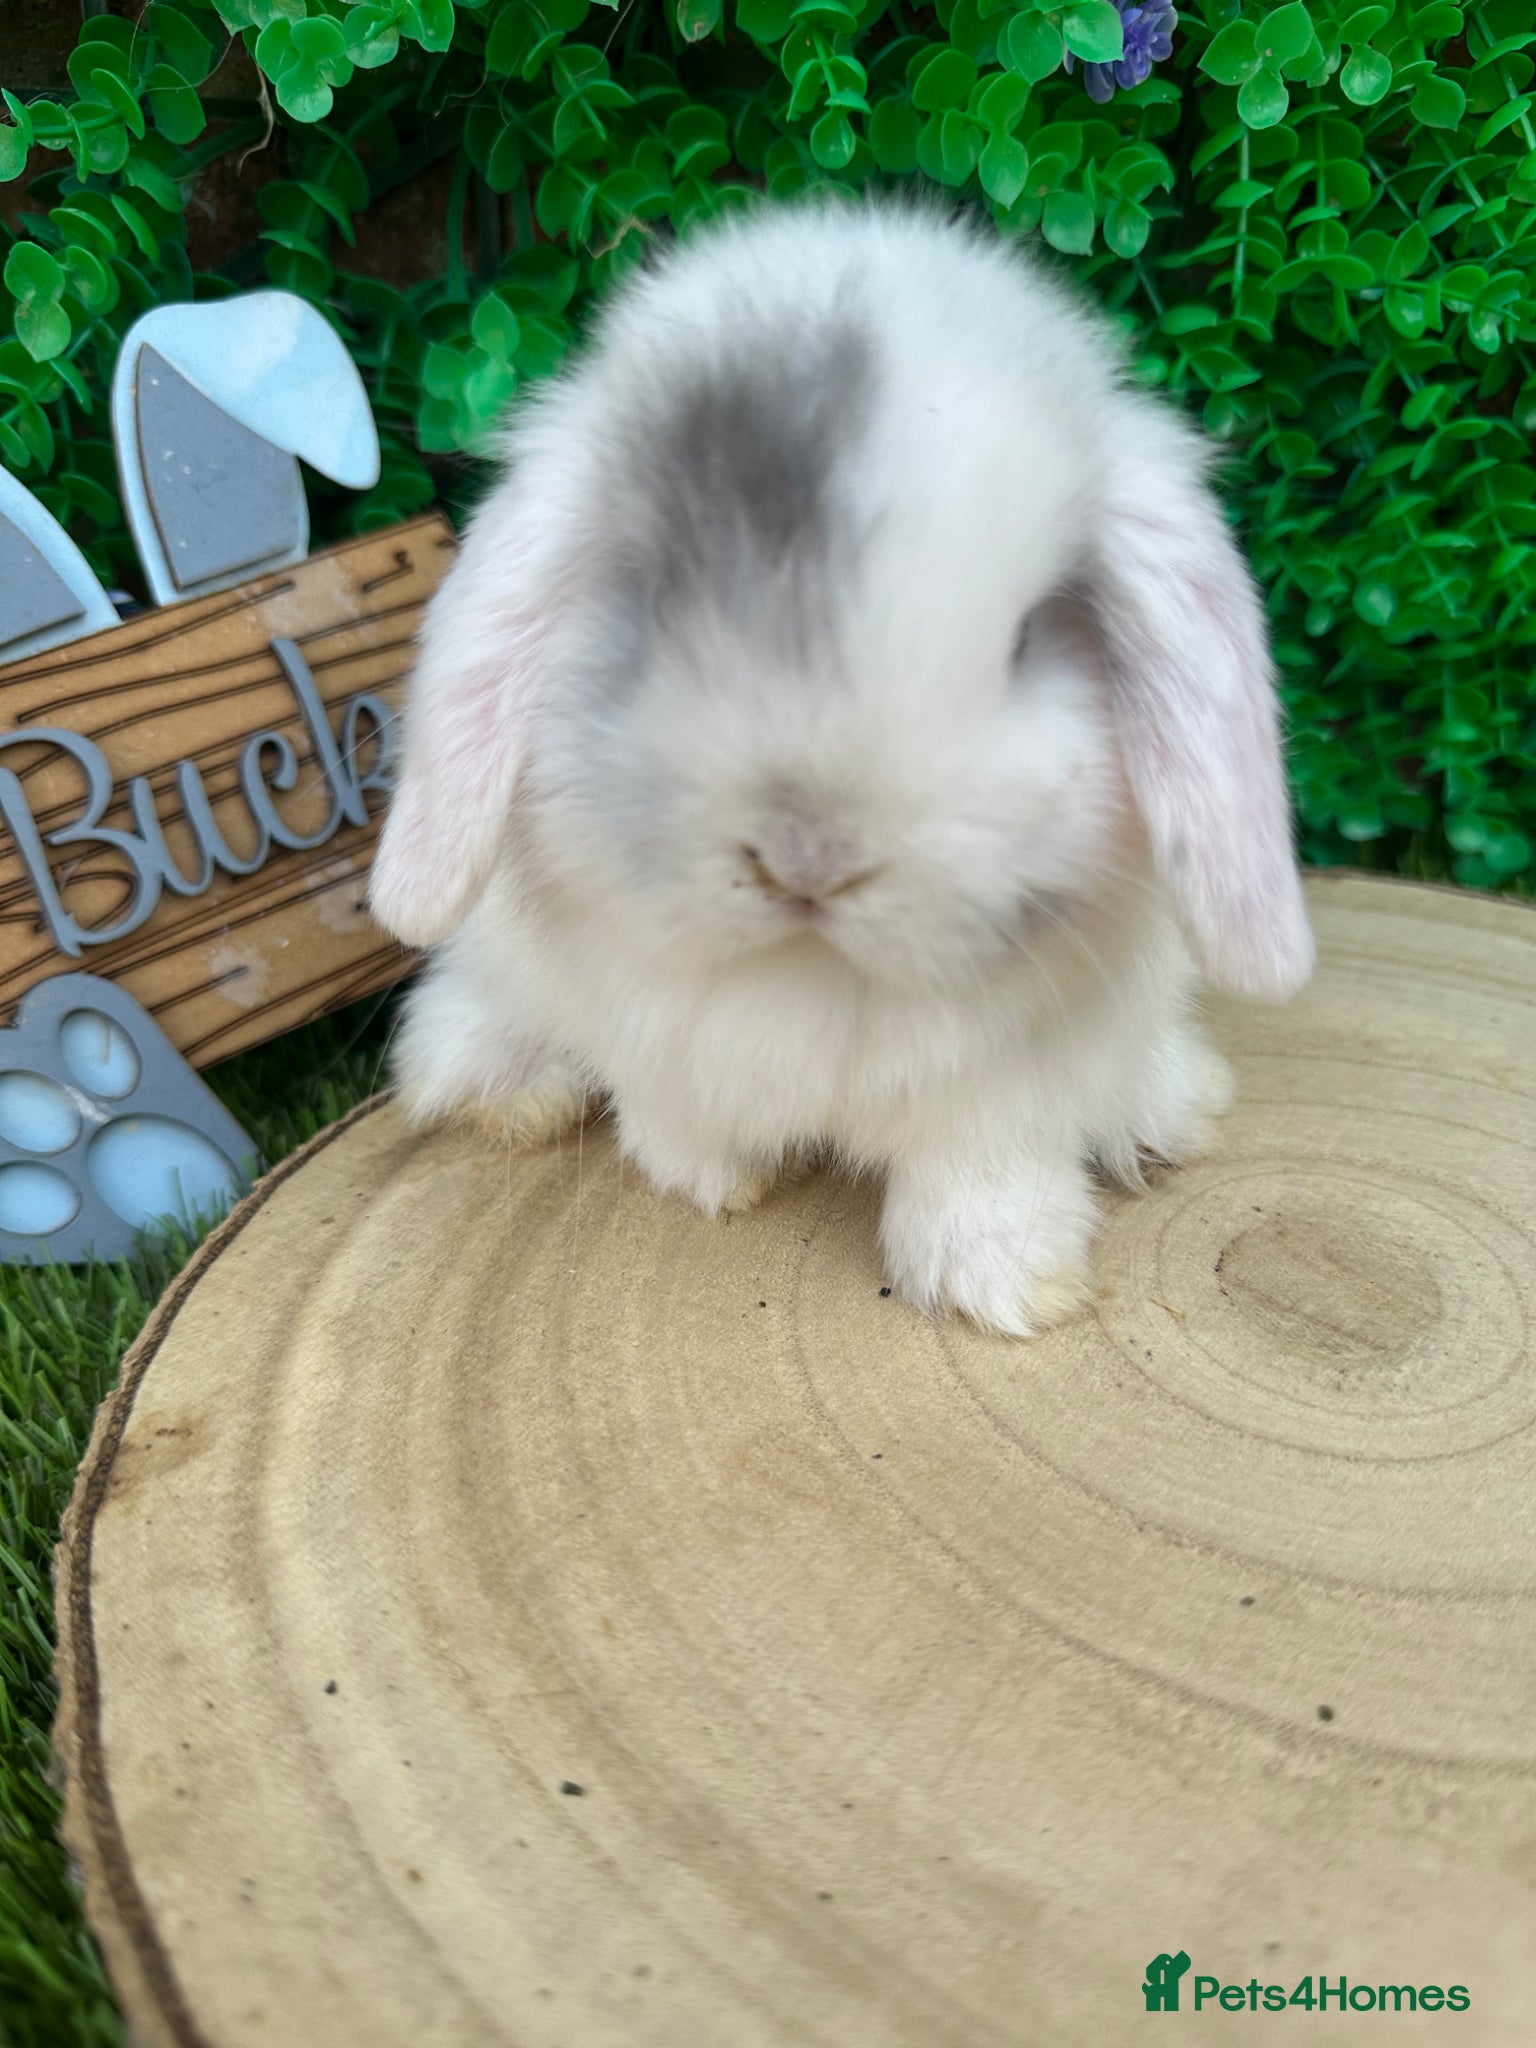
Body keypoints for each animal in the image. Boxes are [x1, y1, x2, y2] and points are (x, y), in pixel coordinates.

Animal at [369, 194, 1314, 1337]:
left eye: (1024, 636)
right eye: (654, 604)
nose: (806, 857)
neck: (819, 974)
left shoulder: (1004, 1091)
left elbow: (982, 1177)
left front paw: (1010, 1289)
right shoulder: (650, 1034)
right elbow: (672, 1118)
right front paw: (714, 1182)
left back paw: (1174, 1109)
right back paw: (519, 1093)